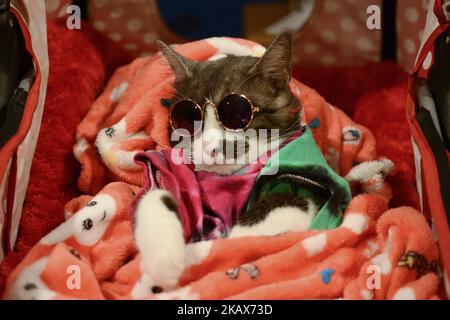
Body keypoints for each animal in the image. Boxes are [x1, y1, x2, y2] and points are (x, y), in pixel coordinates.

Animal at [132, 32, 322, 290]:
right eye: (188, 118)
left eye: (237, 115)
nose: (210, 148)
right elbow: (155, 193)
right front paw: (163, 259)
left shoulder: (305, 177)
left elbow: (283, 202)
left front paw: (224, 249)